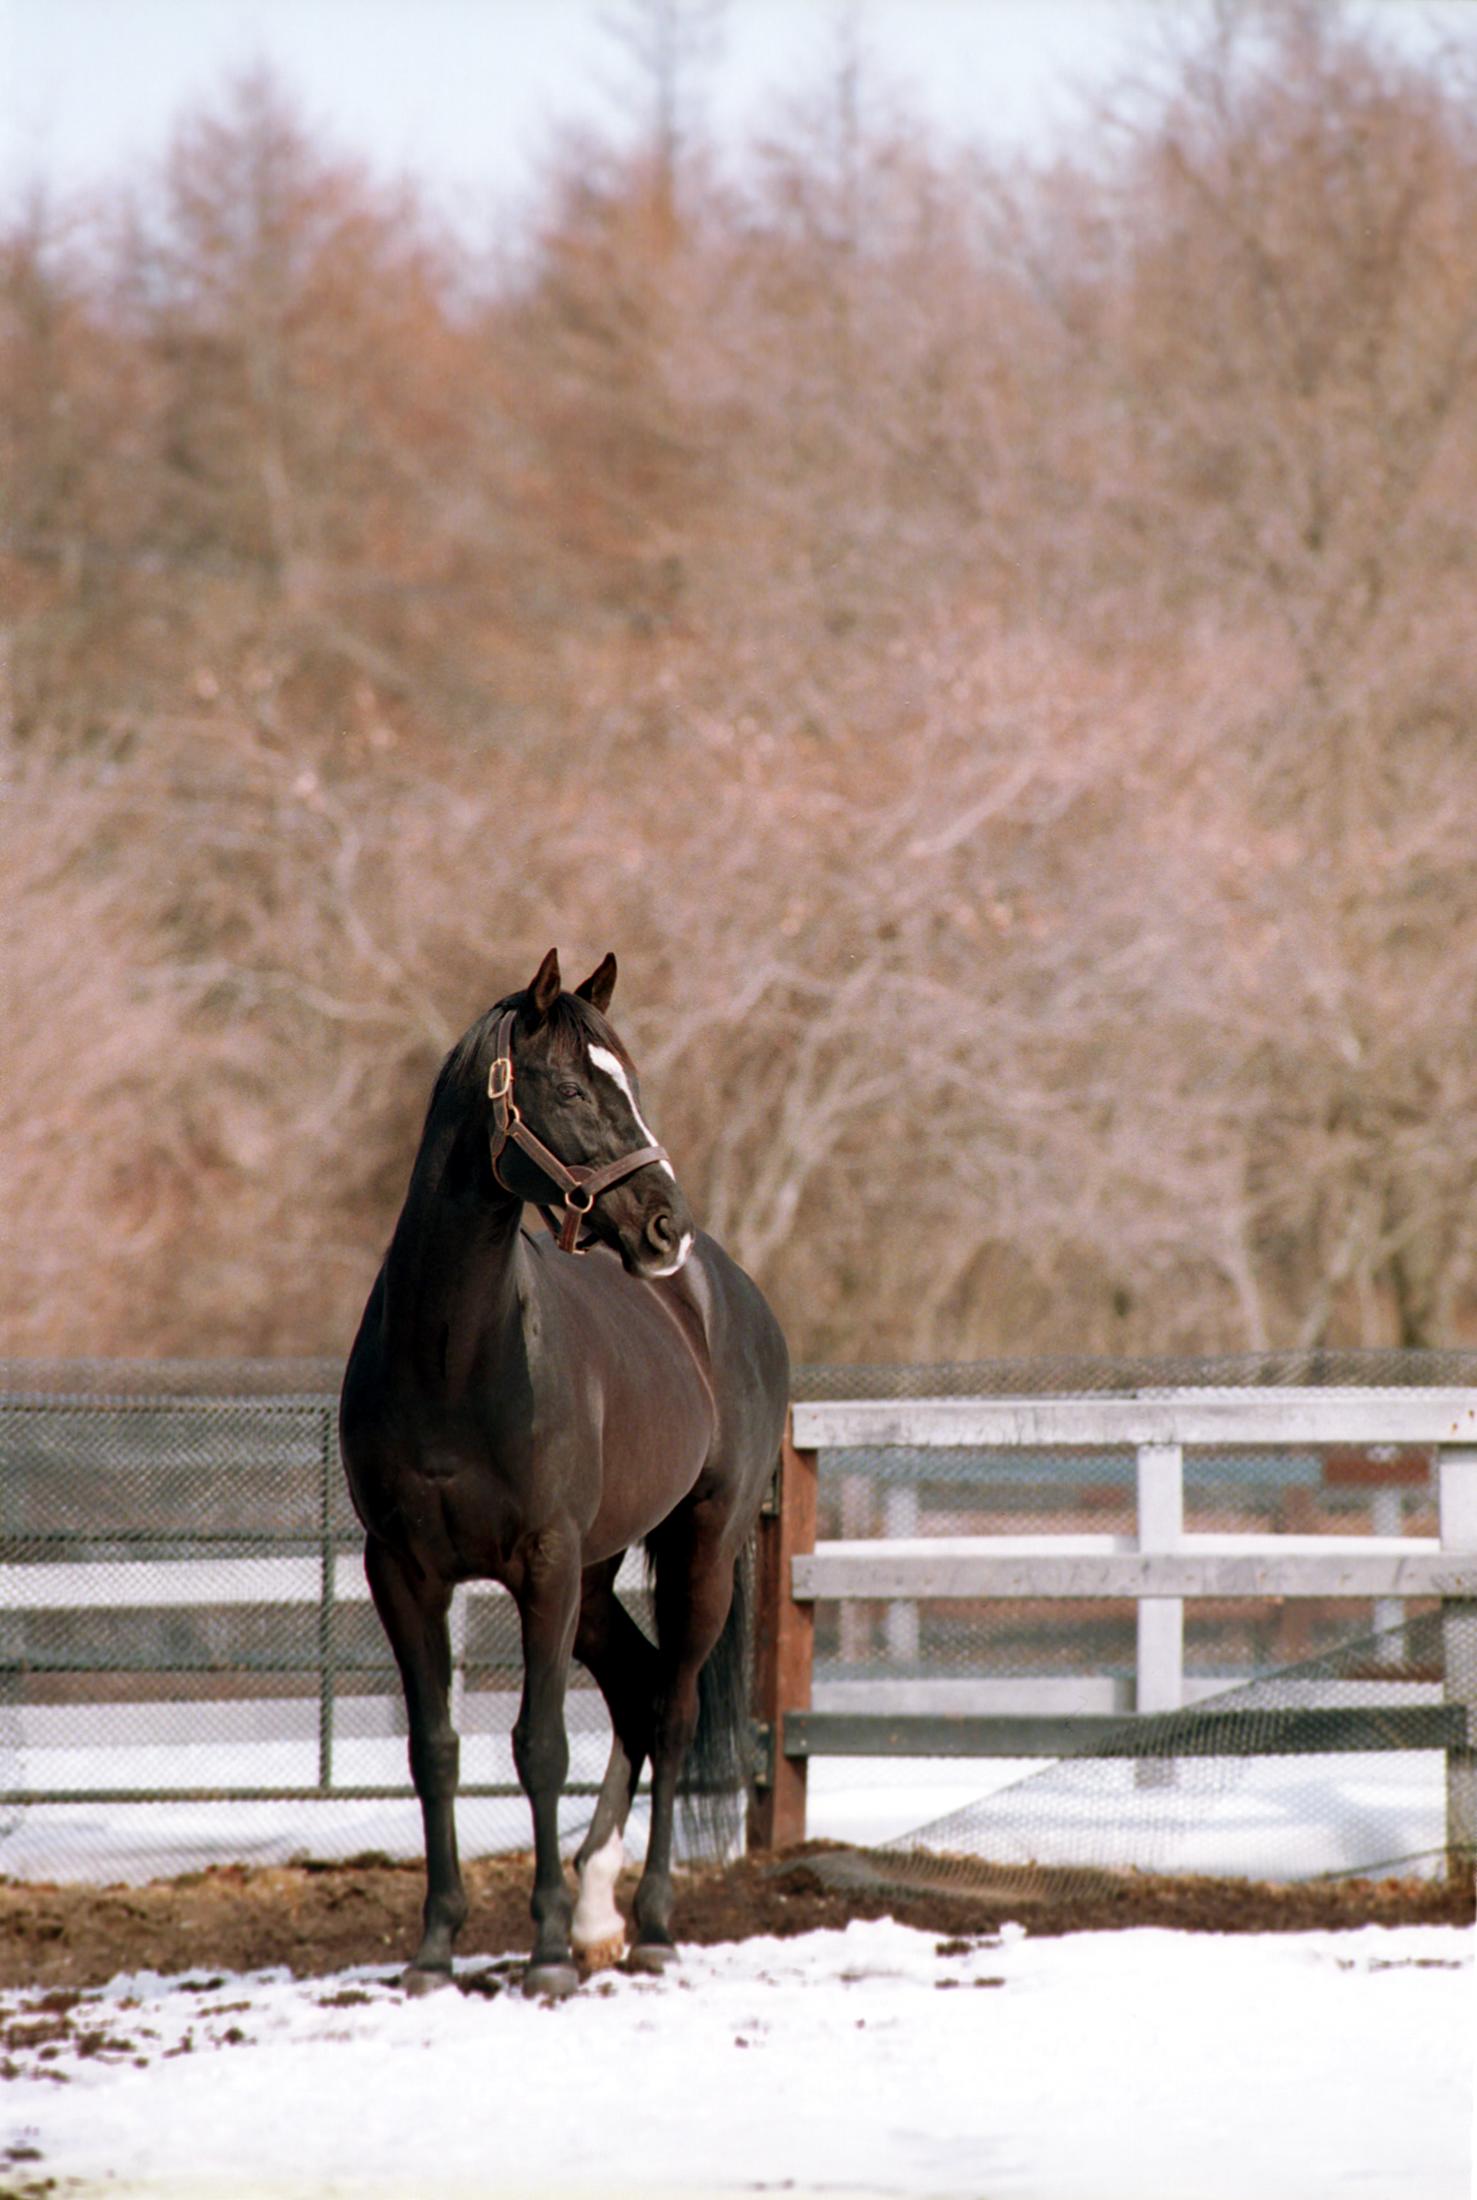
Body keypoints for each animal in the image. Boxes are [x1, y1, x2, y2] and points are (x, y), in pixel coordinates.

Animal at [339, 949, 790, 1996]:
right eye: (576, 1088)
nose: (664, 1225)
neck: (452, 1357)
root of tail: (727, 1291)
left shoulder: (542, 1563)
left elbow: (539, 1747)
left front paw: (542, 1951)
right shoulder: (401, 1571)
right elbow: (435, 1750)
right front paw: (436, 1947)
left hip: (697, 1548)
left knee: (671, 1711)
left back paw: (649, 1923)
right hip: (596, 1574)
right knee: (636, 1692)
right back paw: (596, 1914)